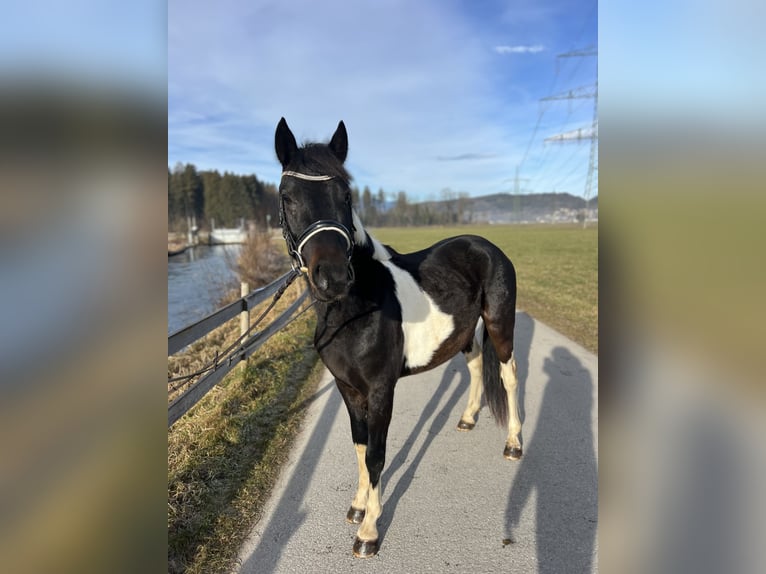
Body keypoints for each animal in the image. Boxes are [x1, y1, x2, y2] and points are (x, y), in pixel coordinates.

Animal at [274, 119, 520, 560]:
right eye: (288, 197)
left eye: (346, 194)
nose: (332, 277)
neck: (353, 309)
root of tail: (486, 245)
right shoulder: (347, 388)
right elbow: (358, 446)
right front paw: (357, 508)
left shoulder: (379, 390)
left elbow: (376, 455)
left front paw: (368, 533)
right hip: (466, 334)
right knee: (477, 366)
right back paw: (467, 419)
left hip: (499, 324)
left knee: (509, 376)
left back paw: (513, 444)